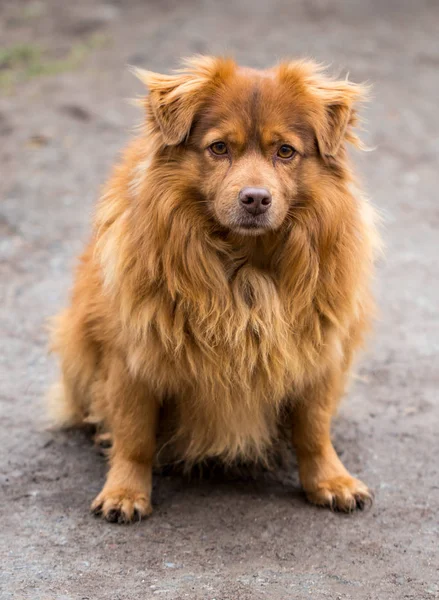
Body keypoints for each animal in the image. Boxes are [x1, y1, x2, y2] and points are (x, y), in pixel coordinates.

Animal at [49, 57, 382, 524]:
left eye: (285, 152)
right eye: (220, 148)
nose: (255, 199)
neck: (245, 265)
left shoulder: (320, 352)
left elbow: (314, 428)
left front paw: (331, 481)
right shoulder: (131, 357)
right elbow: (134, 434)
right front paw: (125, 492)